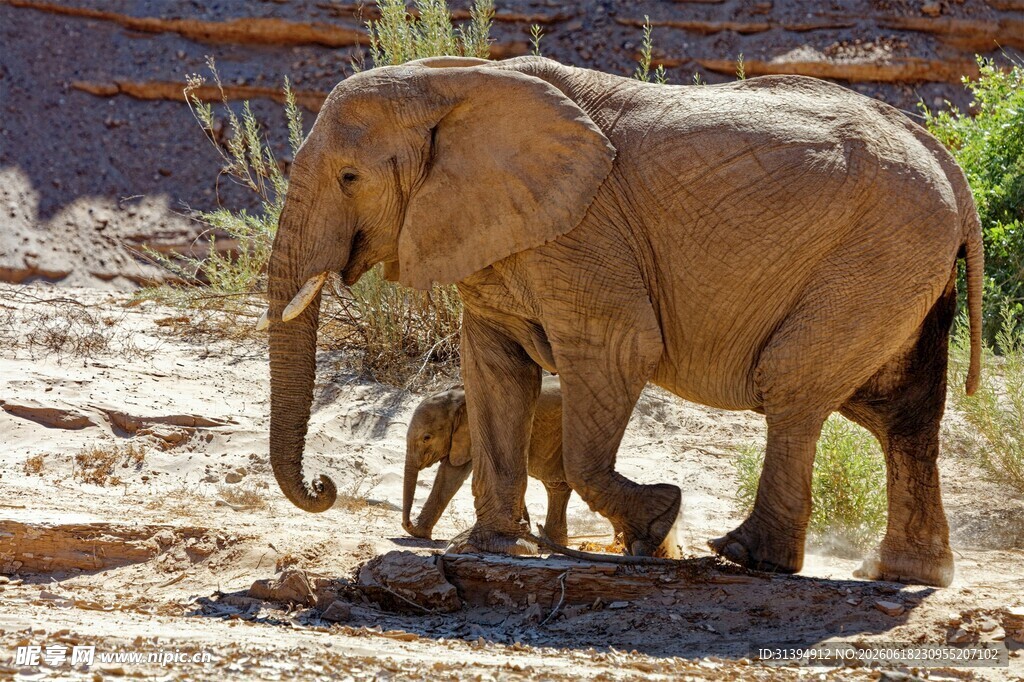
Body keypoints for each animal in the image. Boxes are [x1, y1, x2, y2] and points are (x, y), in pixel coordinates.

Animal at [402, 375, 575, 545]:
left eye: (427, 438)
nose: (407, 523)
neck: (459, 395)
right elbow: (450, 472)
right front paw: (418, 532)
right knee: (556, 487)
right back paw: (551, 542)